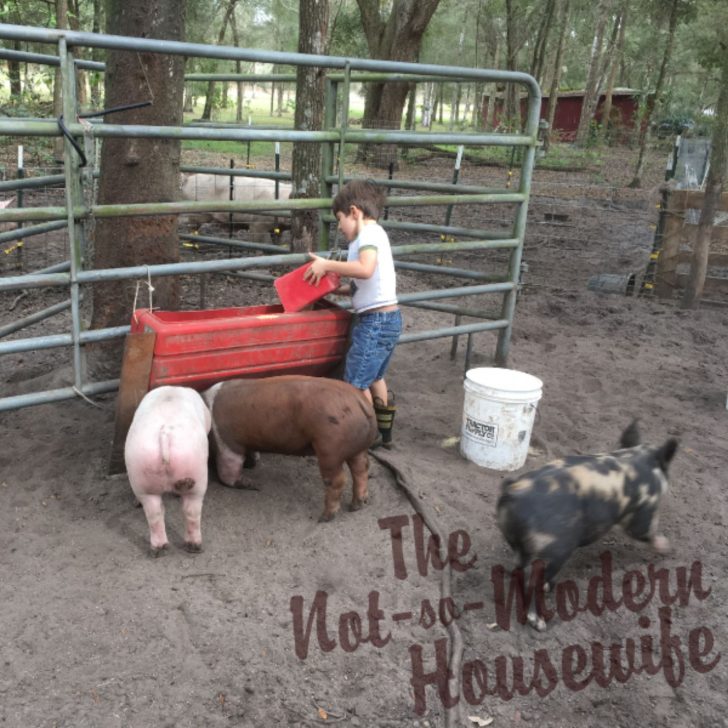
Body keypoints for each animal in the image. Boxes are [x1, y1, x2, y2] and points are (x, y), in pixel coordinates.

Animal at [123, 386, 210, 556]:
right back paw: (194, 547)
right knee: (191, 511)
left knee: (155, 513)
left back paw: (161, 549)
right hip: (197, 474)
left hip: (142, 475)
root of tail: (165, 433)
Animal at [202, 376, 378, 524]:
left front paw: (254, 484)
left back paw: (324, 518)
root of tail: (360, 402)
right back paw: (357, 505)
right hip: (357, 449)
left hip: (329, 449)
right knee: (361, 469)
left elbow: (227, 473)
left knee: (338, 480)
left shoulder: (227, 443)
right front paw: (252, 463)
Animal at [494, 420, 676, 632]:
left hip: (519, 544)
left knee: (519, 568)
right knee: (535, 578)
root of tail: (515, 493)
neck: (637, 458)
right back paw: (540, 622)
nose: (670, 550)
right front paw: (668, 548)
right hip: (555, 549)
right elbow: (646, 532)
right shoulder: (643, 512)